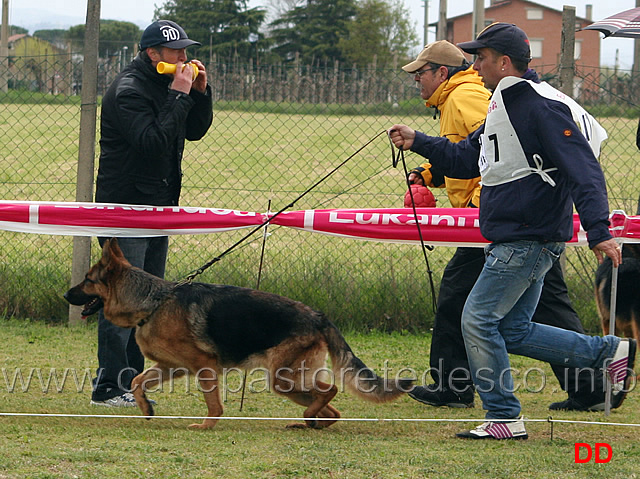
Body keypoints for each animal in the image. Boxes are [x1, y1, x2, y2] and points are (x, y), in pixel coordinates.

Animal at [65, 240, 412, 432]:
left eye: (87, 280)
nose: (66, 295)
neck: (153, 302)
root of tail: (318, 316)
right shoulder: (171, 367)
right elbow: (138, 381)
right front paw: (147, 408)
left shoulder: (204, 366)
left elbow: (213, 404)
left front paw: (207, 426)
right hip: (290, 383)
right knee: (332, 409)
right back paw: (309, 423)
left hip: (284, 379)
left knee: (331, 390)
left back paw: (309, 418)